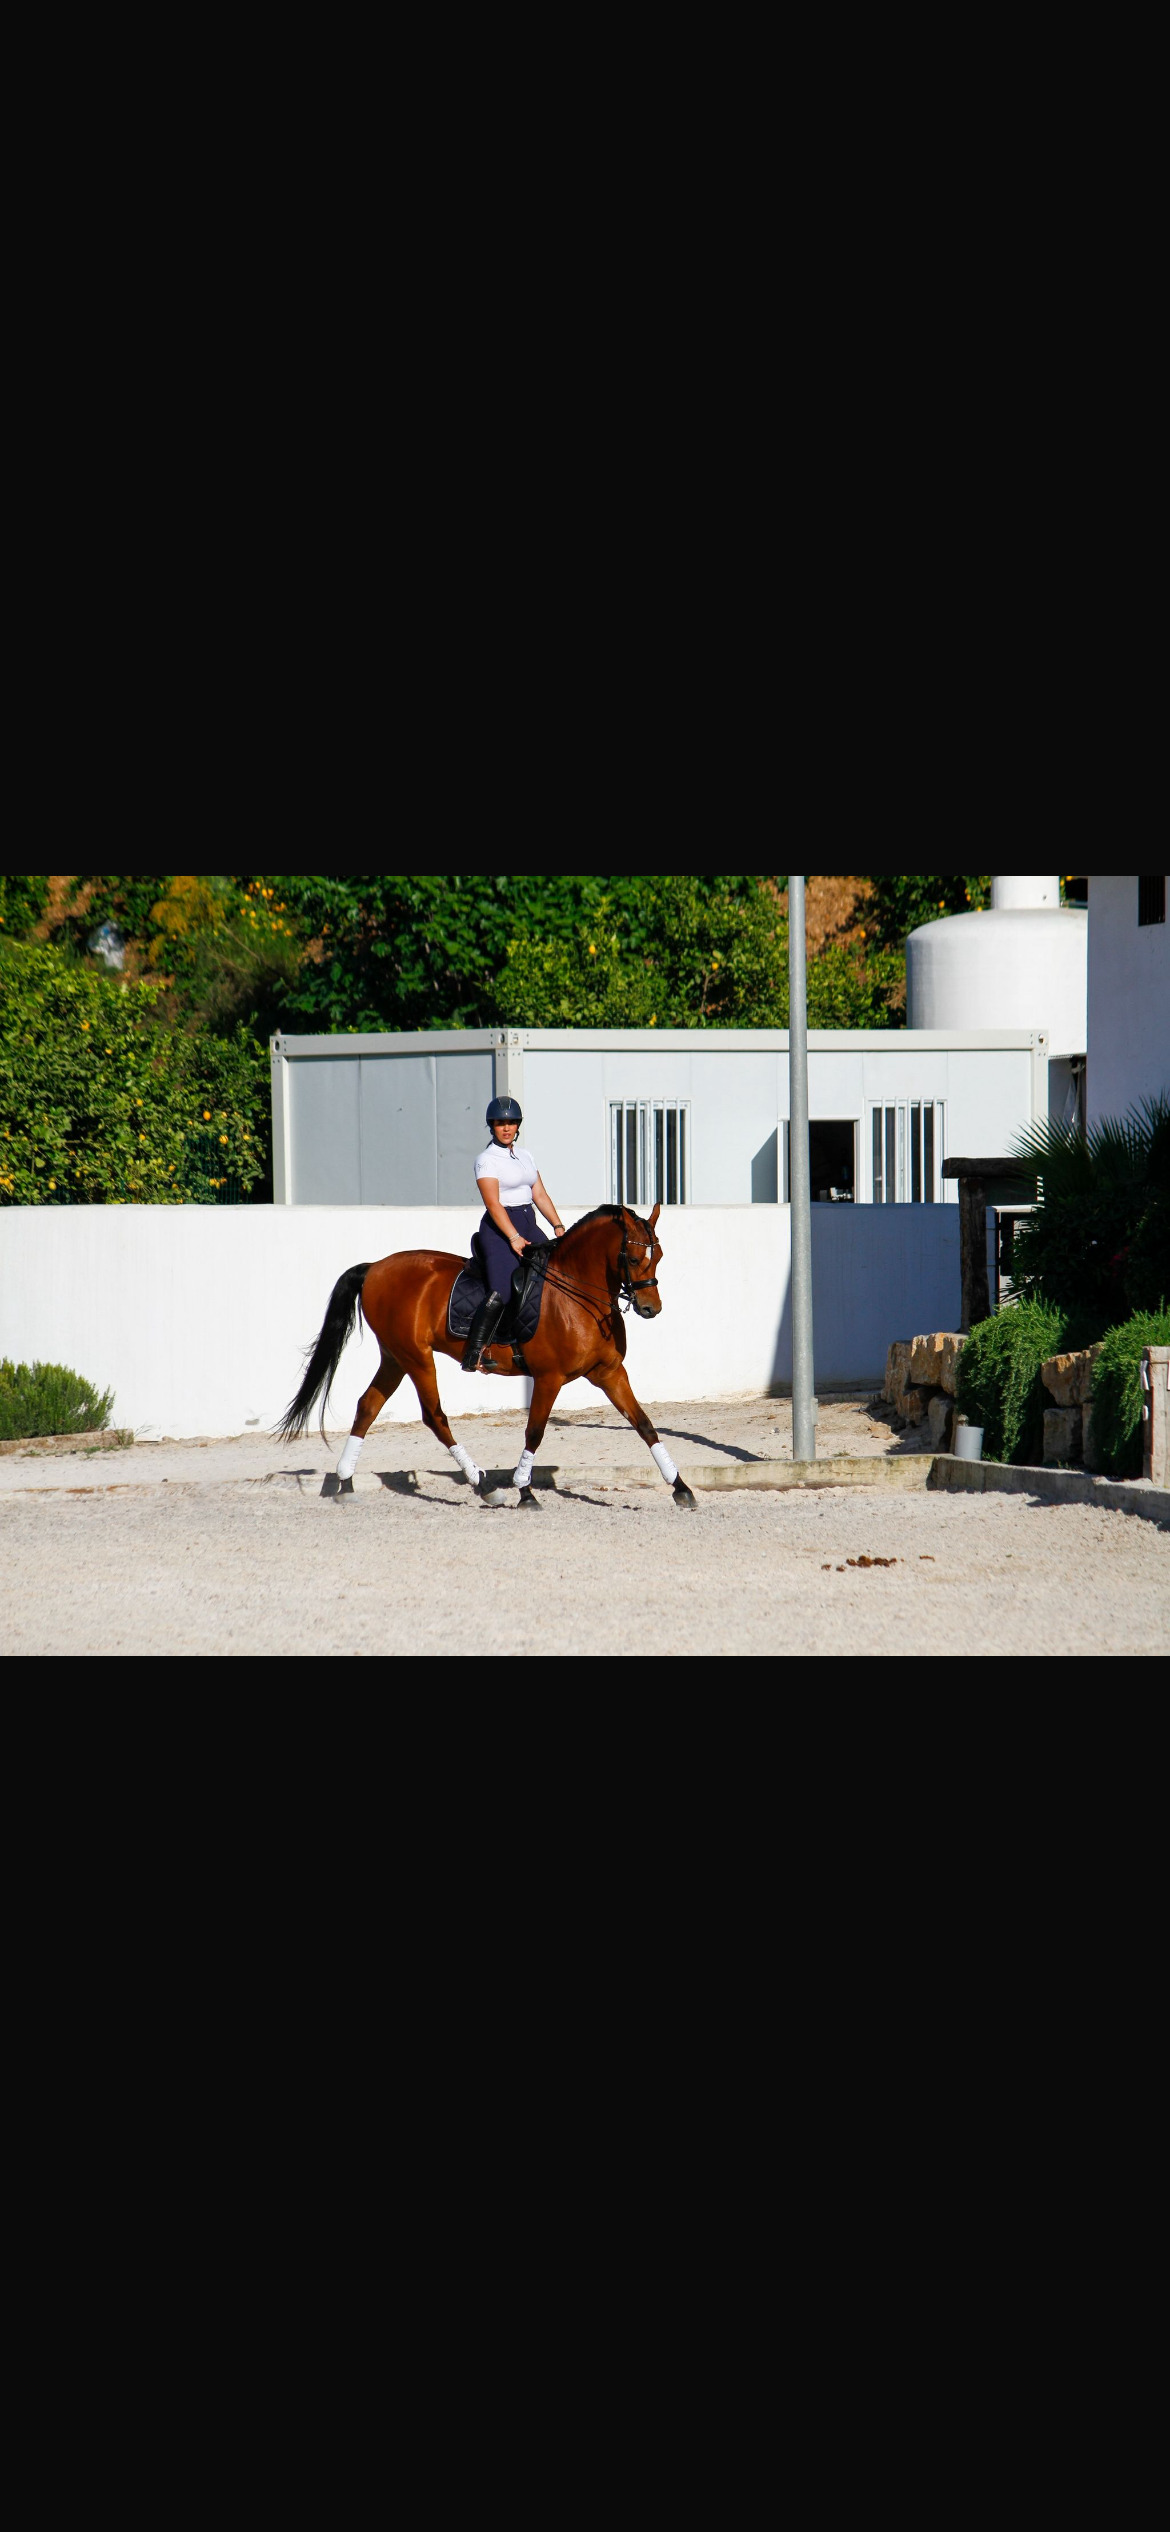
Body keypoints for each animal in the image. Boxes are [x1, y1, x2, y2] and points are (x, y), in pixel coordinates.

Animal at [276, 1201, 697, 1508]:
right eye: (632, 1258)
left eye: (659, 1255)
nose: (650, 1308)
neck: (576, 1295)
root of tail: (376, 1267)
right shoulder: (549, 1377)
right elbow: (535, 1431)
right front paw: (524, 1491)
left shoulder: (609, 1372)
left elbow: (644, 1423)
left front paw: (680, 1486)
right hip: (416, 1358)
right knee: (434, 1417)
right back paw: (483, 1485)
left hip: (394, 1357)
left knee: (367, 1406)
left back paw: (346, 1483)